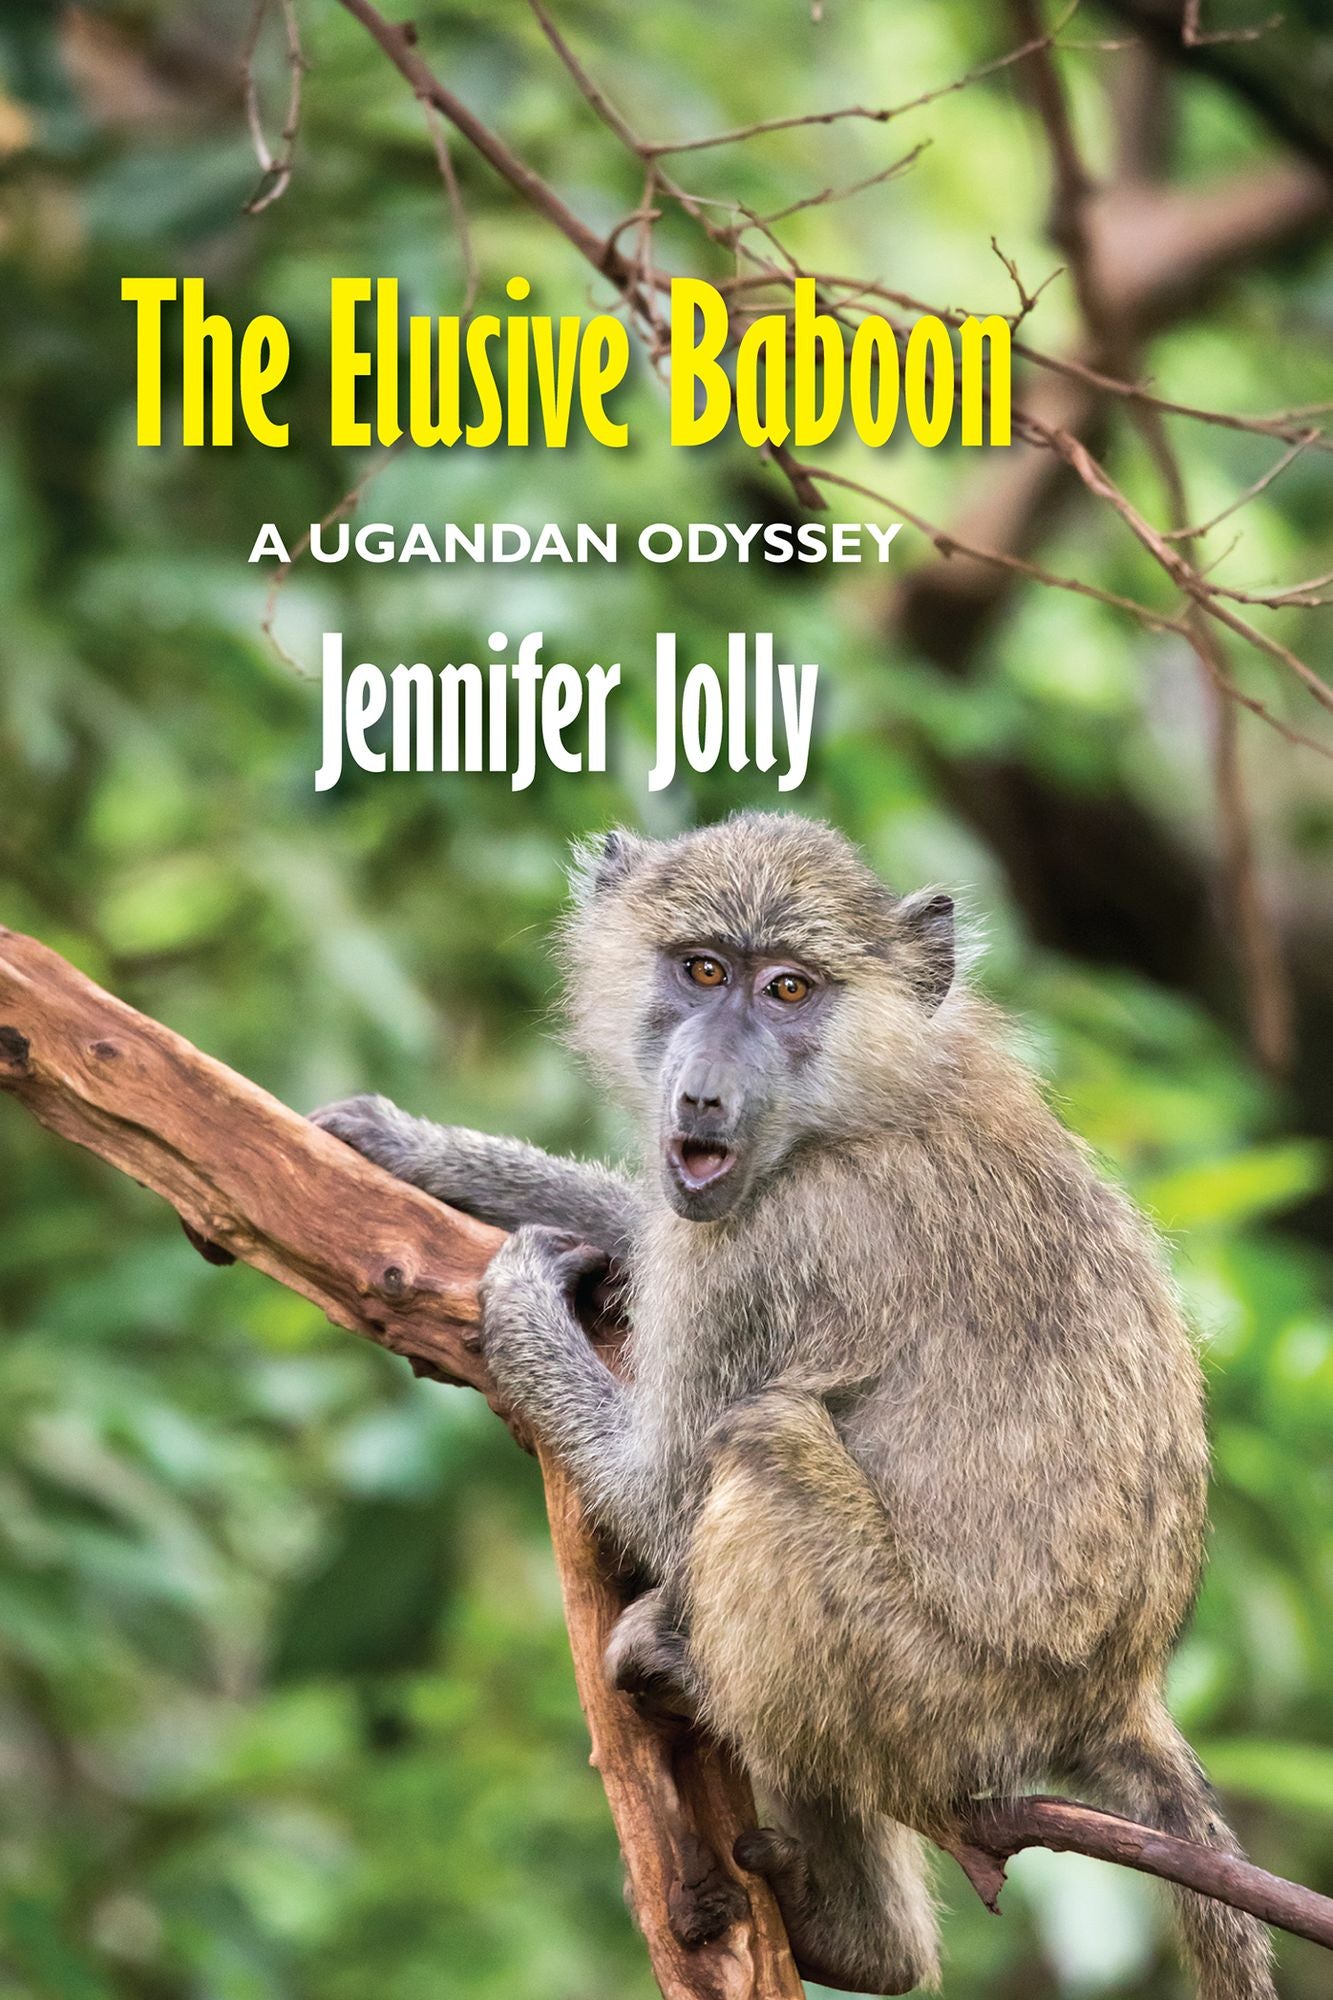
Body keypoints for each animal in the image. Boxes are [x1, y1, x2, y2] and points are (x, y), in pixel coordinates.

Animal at [313, 811, 1275, 2000]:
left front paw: (516, 1294)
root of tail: (1118, 1690)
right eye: (702, 970)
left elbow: (663, 1493)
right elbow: (643, 1230)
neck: (856, 1101)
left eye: (787, 989)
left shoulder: (766, 1252)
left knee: (762, 1445)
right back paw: (868, 1941)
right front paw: (428, 1152)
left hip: (930, 1698)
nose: (703, 1096)